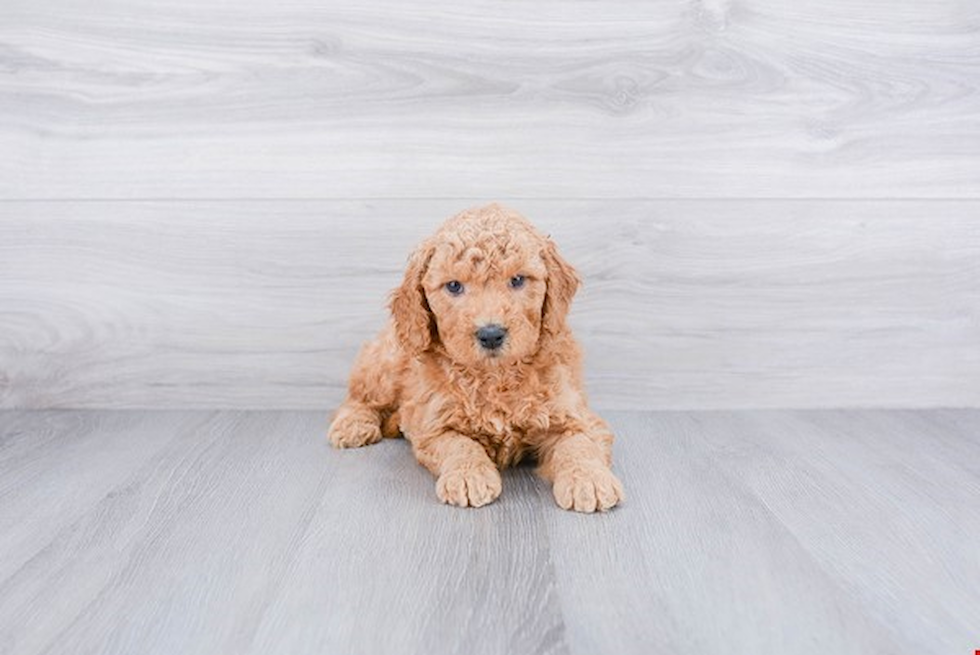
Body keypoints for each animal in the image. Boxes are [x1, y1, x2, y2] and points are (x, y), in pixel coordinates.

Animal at [326, 204, 624, 512]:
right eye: (454, 286)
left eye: (517, 280)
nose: (491, 334)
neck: (496, 376)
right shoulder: (431, 427)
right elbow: (459, 444)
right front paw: (469, 476)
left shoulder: (575, 413)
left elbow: (579, 442)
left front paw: (589, 479)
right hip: (387, 361)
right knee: (359, 396)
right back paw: (353, 425)